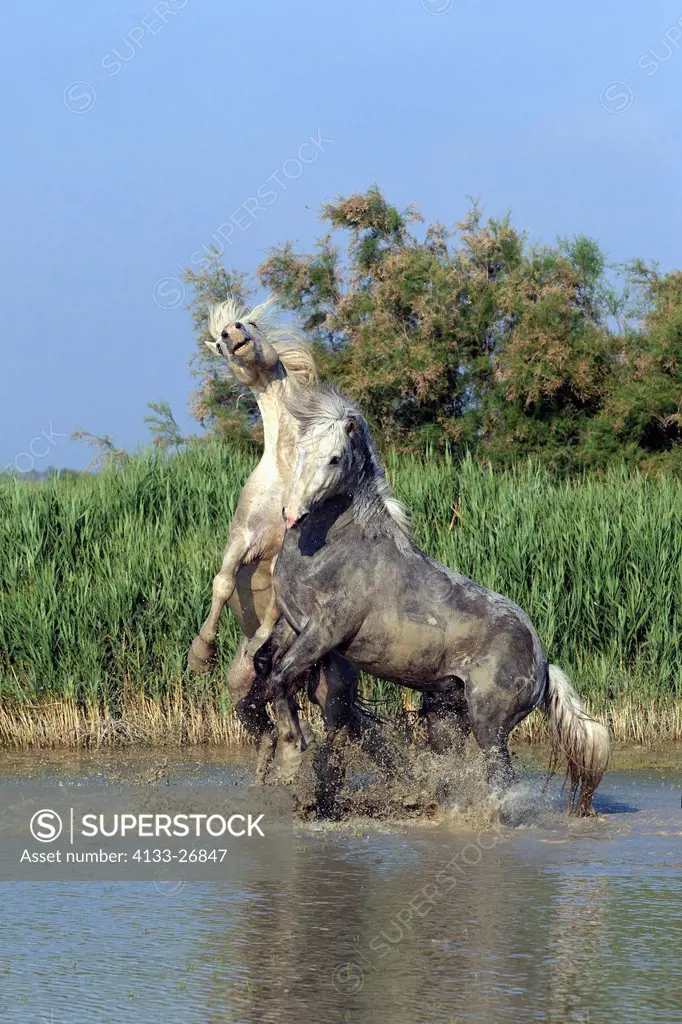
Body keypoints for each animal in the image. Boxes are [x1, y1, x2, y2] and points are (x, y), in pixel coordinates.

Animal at [251, 385, 606, 815]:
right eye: (302, 450)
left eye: (335, 457)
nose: (292, 514)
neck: (332, 549)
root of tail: (544, 664)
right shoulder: (296, 624)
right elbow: (266, 666)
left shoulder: (325, 631)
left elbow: (279, 679)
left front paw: (291, 759)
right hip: (445, 716)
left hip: (489, 726)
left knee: (500, 779)